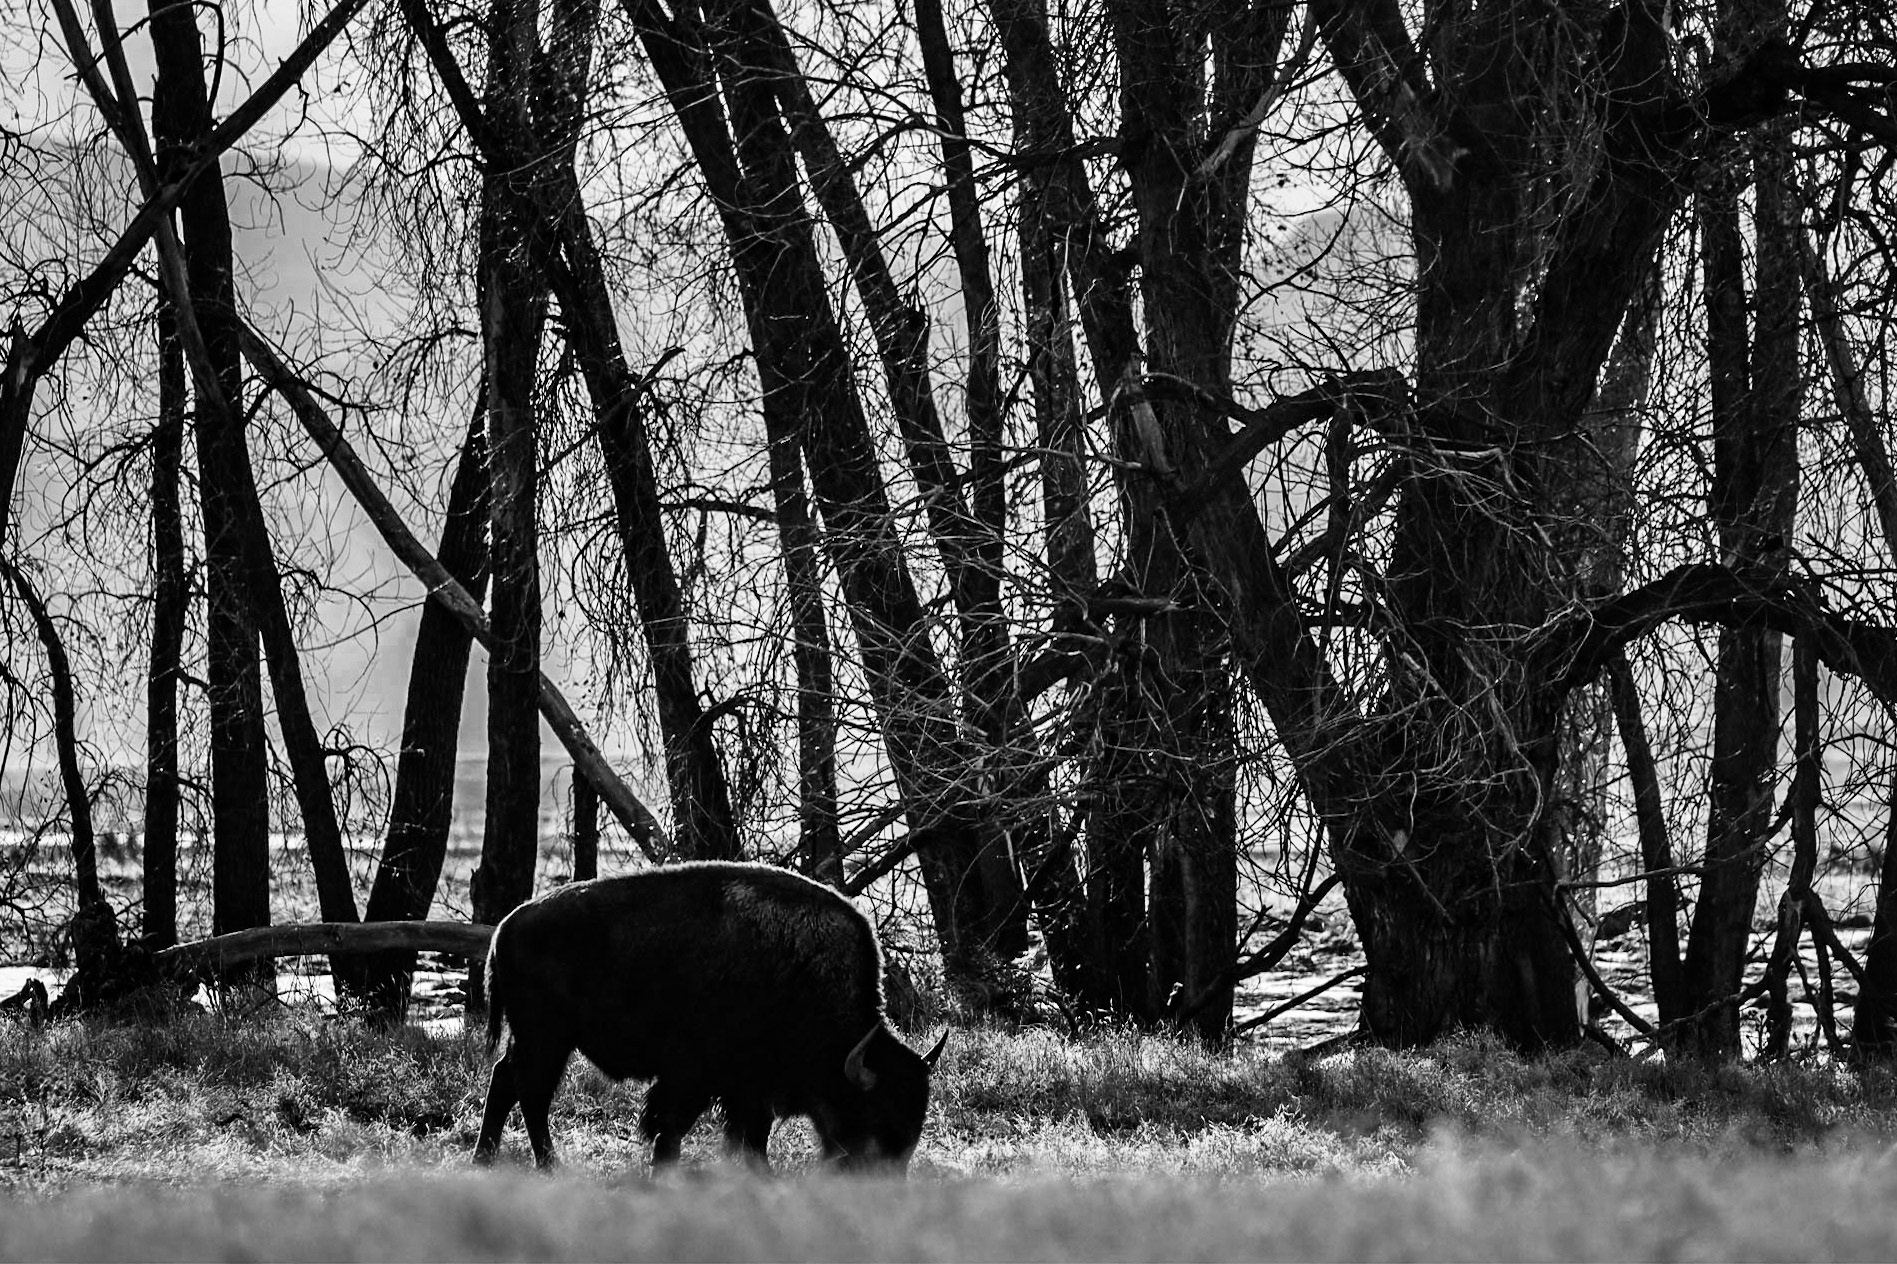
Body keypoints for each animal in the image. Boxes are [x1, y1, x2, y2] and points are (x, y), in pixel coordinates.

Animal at [472, 861, 946, 1171]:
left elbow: (750, 1136)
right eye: (874, 1115)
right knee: (529, 1090)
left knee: (505, 1079)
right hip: (546, 1038)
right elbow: (673, 1127)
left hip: (537, 1039)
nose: (879, 1184)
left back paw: (486, 1158)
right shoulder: (695, 1076)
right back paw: (548, 1165)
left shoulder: (746, 1088)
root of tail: (506, 926)